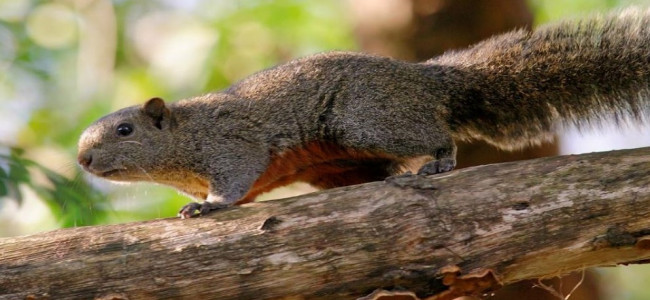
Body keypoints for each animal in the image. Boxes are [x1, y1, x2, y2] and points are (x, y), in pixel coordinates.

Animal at [79, 8, 648, 218]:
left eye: (125, 129)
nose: (82, 161)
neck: (181, 144)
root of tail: (425, 79)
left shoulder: (230, 146)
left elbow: (235, 179)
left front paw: (209, 207)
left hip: (366, 120)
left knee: (436, 134)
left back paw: (439, 161)